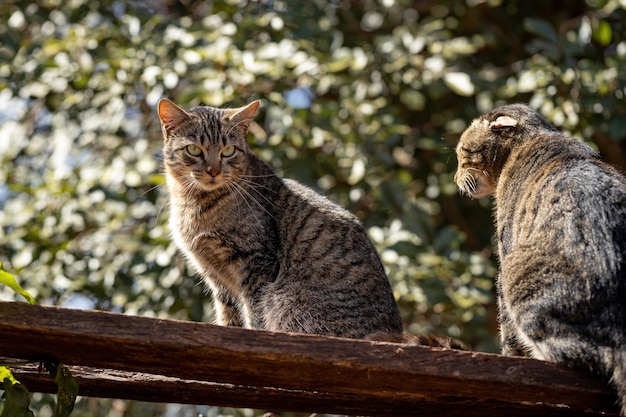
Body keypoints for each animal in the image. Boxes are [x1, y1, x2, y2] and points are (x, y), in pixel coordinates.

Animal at [155, 97, 400, 338]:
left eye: (229, 151)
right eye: (194, 150)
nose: (213, 171)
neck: (194, 204)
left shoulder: (256, 262)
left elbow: (254, 312)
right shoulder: (215, 274)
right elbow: (228, 313)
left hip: (285, 299)